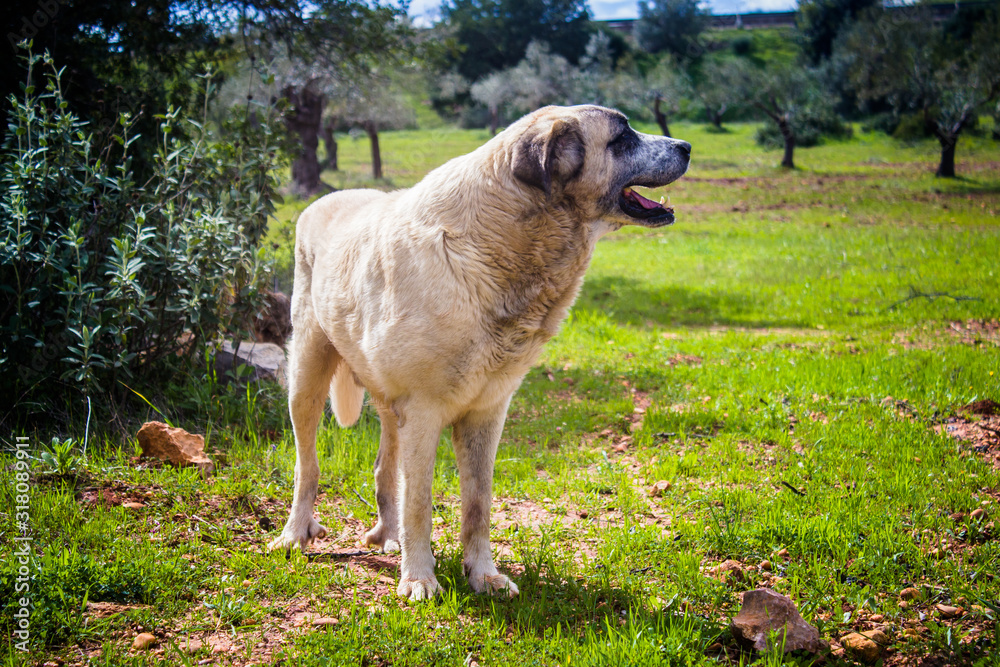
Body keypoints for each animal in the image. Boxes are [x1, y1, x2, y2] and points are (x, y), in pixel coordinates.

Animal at [266, 104, 688, 600]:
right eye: (622, 137)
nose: (686, 146)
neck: (495, 246)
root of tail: (326, 200)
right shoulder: (423, 413)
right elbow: (420, 504)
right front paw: (419, 578)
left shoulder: (487, 413)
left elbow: (478, 503)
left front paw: (482, 574)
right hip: (307, 381)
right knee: (307, 467)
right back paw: (294, 535)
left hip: (388, 404)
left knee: (384, 467)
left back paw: (388, 536)